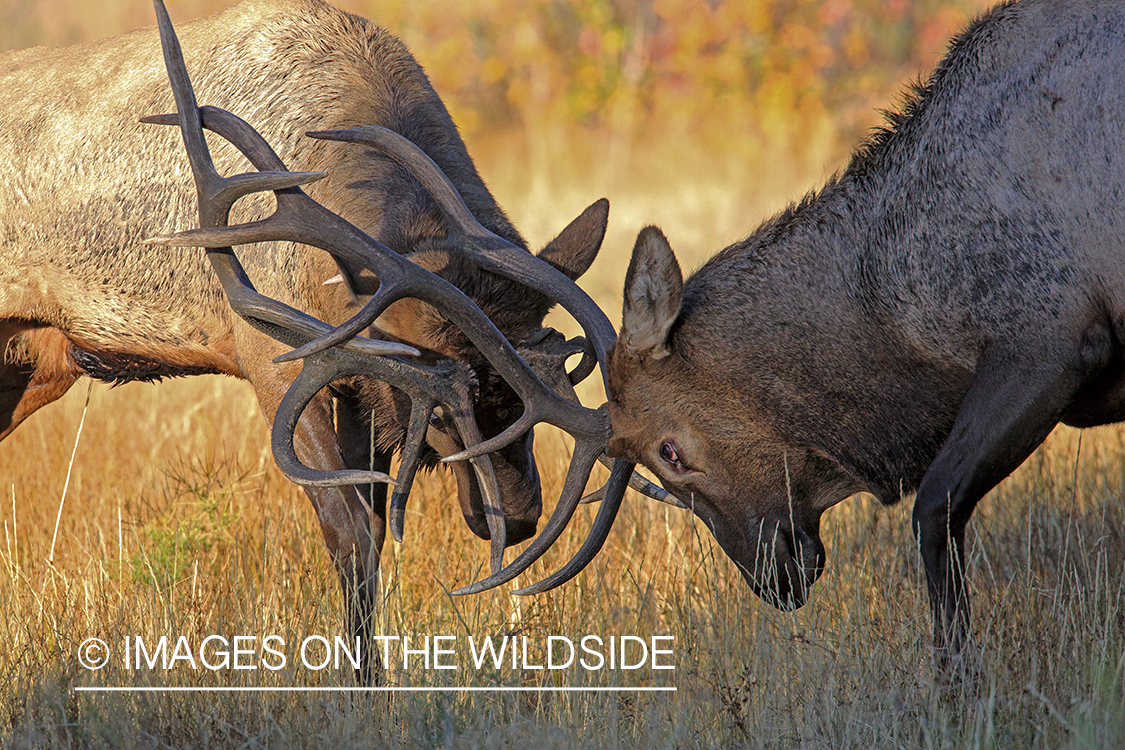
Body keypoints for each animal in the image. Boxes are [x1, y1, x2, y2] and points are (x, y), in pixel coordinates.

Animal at [0, 0, 661, 679]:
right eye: (443, 411)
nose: (521, 516)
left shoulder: (363, 389)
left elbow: (373, 529)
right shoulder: (277, 362)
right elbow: (351, 534)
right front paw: (358, 681)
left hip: (33, 363)